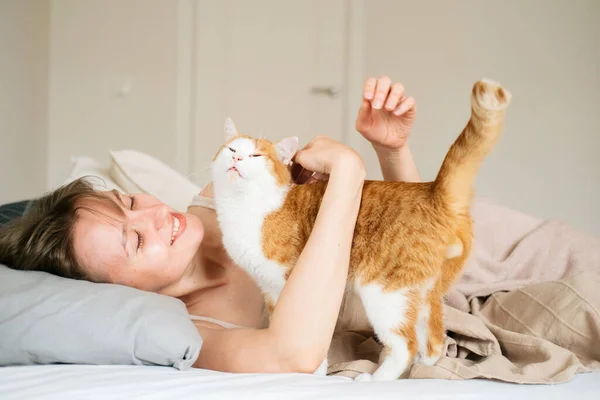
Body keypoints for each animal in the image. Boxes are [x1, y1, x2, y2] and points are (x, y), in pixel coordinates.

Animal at [210, 79, 510, 382]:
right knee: (435, 340)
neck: (244, 207)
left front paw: (314, 373)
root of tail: (432, 190)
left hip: (384, 293)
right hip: (425, 295)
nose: (237, 160)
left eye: (256, 155)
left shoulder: (289, 283)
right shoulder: (271, 290)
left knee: (406, 345)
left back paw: (376, 378)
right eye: (231, 150)